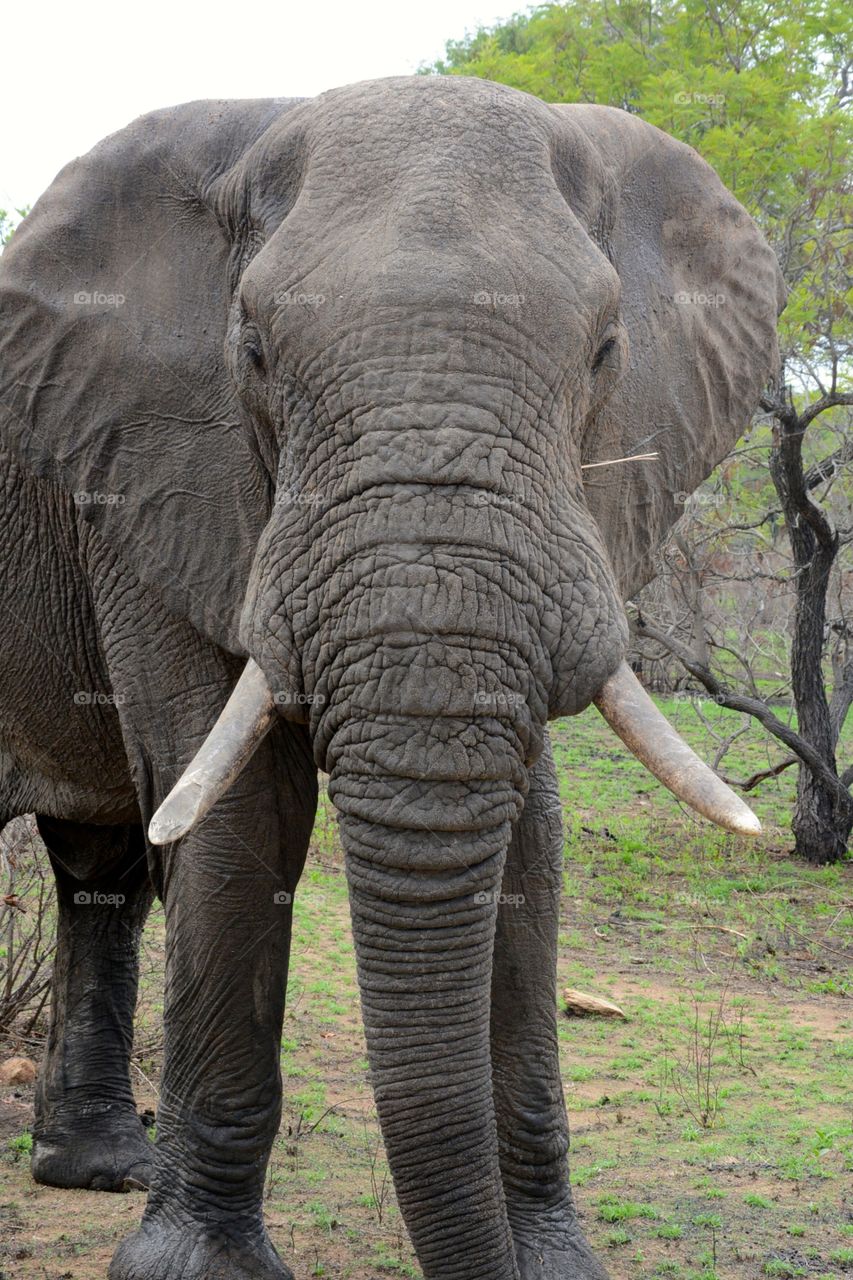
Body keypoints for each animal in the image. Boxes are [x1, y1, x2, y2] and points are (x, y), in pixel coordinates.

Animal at [0, 75, 783, 1280]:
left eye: (606, 351)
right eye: (254, 354)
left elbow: (529, 832)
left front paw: (552, 1264)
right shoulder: (143, 478)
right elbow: (237, 812)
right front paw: (198, 1272)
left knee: (100, 862)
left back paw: (101, 1169)